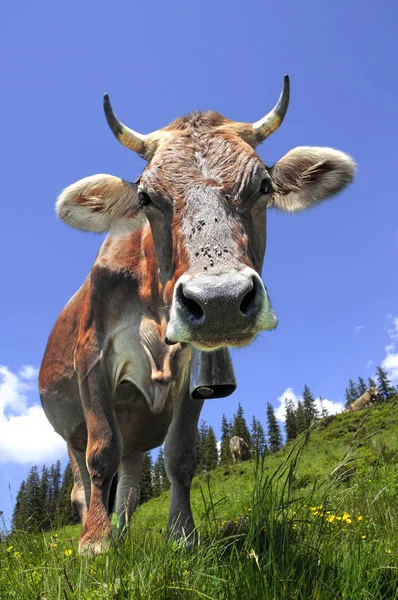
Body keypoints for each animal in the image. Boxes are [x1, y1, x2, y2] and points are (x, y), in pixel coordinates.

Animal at [38, 77, 356, 556]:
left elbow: (181, 456)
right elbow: (101, 451)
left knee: (128, 483)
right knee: (84, 481)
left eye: (264, 185)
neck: (153, 304)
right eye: (146, 197)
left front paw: (182, 536)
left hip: (137, 436)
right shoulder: (91, 356)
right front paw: (95, 544)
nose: (220, 300)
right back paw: (101, 530)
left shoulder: (192, 371)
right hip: (68, 429)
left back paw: (125, 531)